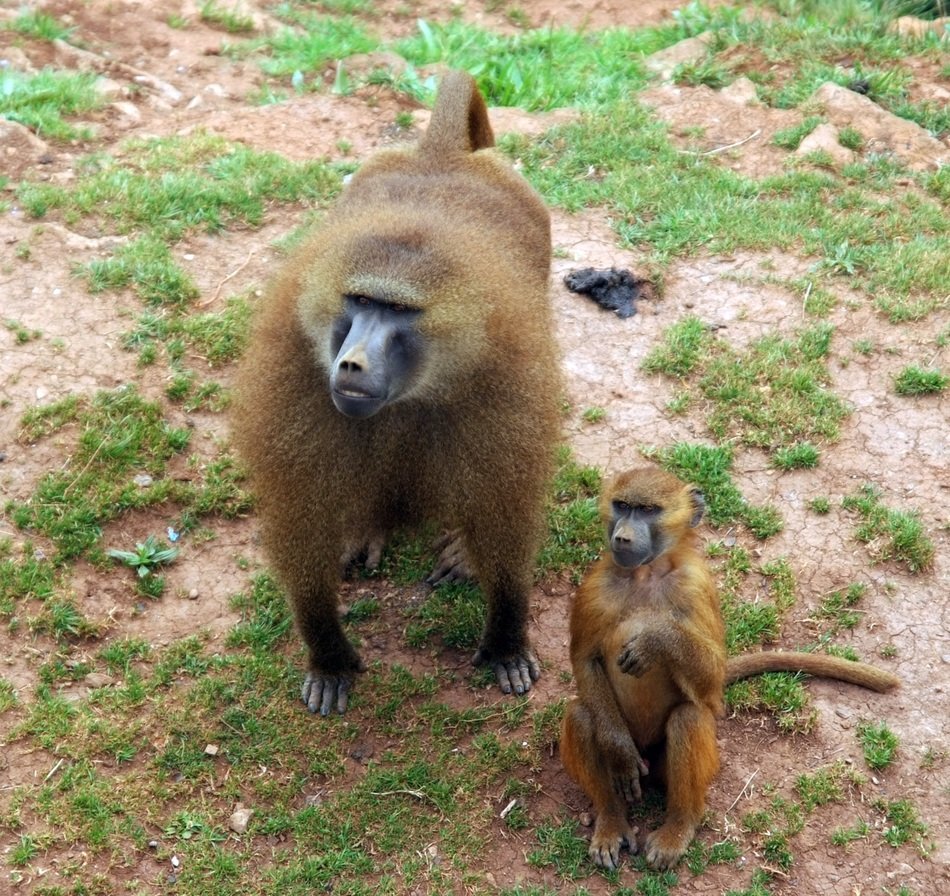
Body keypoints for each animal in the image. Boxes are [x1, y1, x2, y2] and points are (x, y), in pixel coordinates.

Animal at [231, 70, 560, 717]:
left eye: (399, 312)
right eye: (360, 302)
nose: (351, 363)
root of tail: (440, 155)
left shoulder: (507, 373)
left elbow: (506, 508)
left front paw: (507, 641)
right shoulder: (297, 366)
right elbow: (301, 516)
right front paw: (330, 656)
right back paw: (368, 529)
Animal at [560, 466, 899, 871]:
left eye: (647, 510)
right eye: (622, 506)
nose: (623, 536)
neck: (645, 574)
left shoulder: (696, 585)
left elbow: (711, 680)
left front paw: (656, 637)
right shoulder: (595, 585)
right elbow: (586, 661)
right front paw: (619, 752)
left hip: (665, 766)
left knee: (688, 718)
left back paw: (678, 828)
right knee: (582, 715)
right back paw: (611, 820)